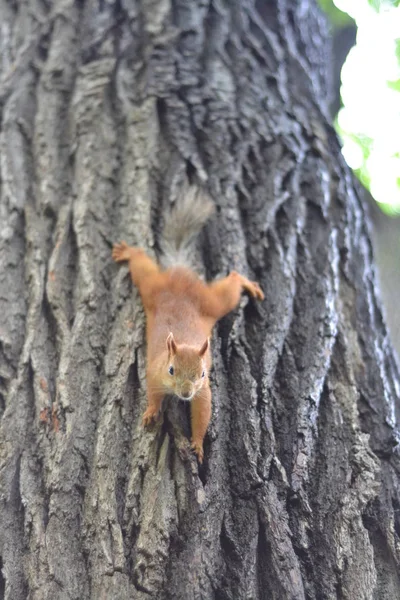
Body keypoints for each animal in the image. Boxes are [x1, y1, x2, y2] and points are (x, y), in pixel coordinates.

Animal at [111, 185, 264, 462]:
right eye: (172, 370)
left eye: (202, 373)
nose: (185, 393)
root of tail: (181, 276)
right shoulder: (155, 371)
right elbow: (152, 392)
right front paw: (151, 412)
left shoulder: (203, 391)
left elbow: (202, 413)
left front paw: (198, 444)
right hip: (153, 288)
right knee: (142, 267)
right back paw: (129, 252)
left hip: (211, 302)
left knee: (233, 281)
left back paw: (246, 282)